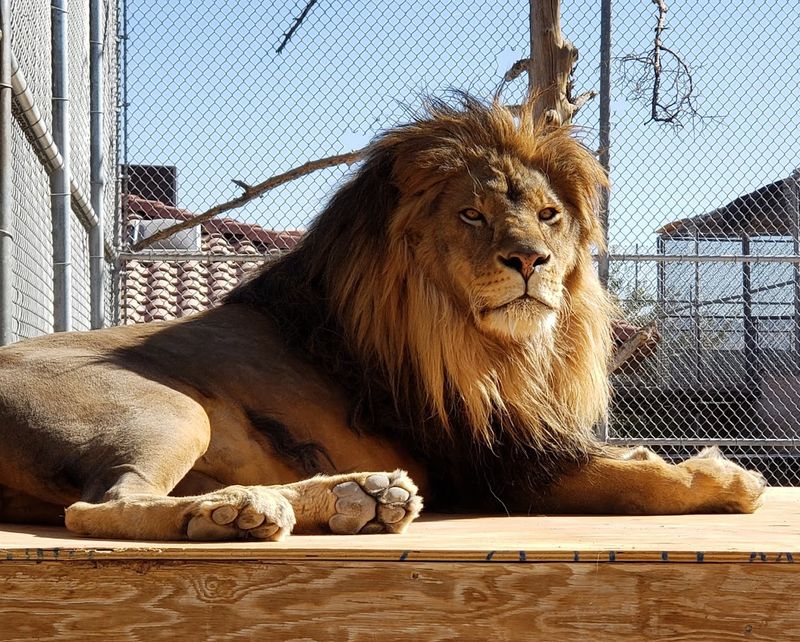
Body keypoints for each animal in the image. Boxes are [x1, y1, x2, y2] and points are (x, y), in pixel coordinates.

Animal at [0, 96, 765, 540]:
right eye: (473, 214)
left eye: (550, 214)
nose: (531, 259)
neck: (493, 346)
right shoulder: (493, 462)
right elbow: (632, 479)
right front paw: (726, 480)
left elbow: (620, 461)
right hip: (169, 408)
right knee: (95, 508)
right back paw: (232, 514)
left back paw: (354, 497)